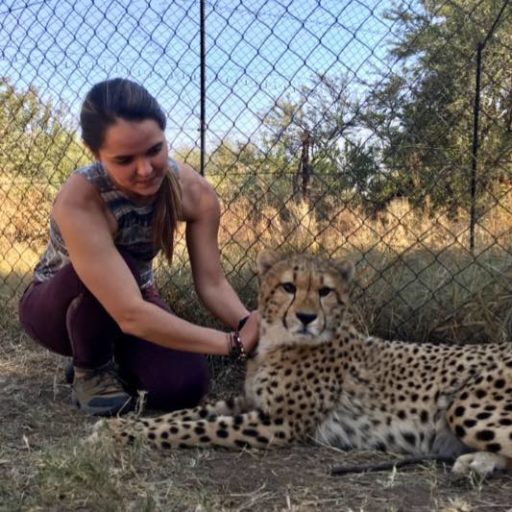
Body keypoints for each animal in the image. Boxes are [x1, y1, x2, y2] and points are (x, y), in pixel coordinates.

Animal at [99, 251, 512, 476]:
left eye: (325, 291)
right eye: (288, 287)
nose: (307, 317)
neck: (278, 342)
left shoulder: (278, 424)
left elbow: (190, 428)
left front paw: (119, 433)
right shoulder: (248, 401)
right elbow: (186, 414)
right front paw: (118, 425)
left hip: (464, 404)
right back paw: (475, 463)